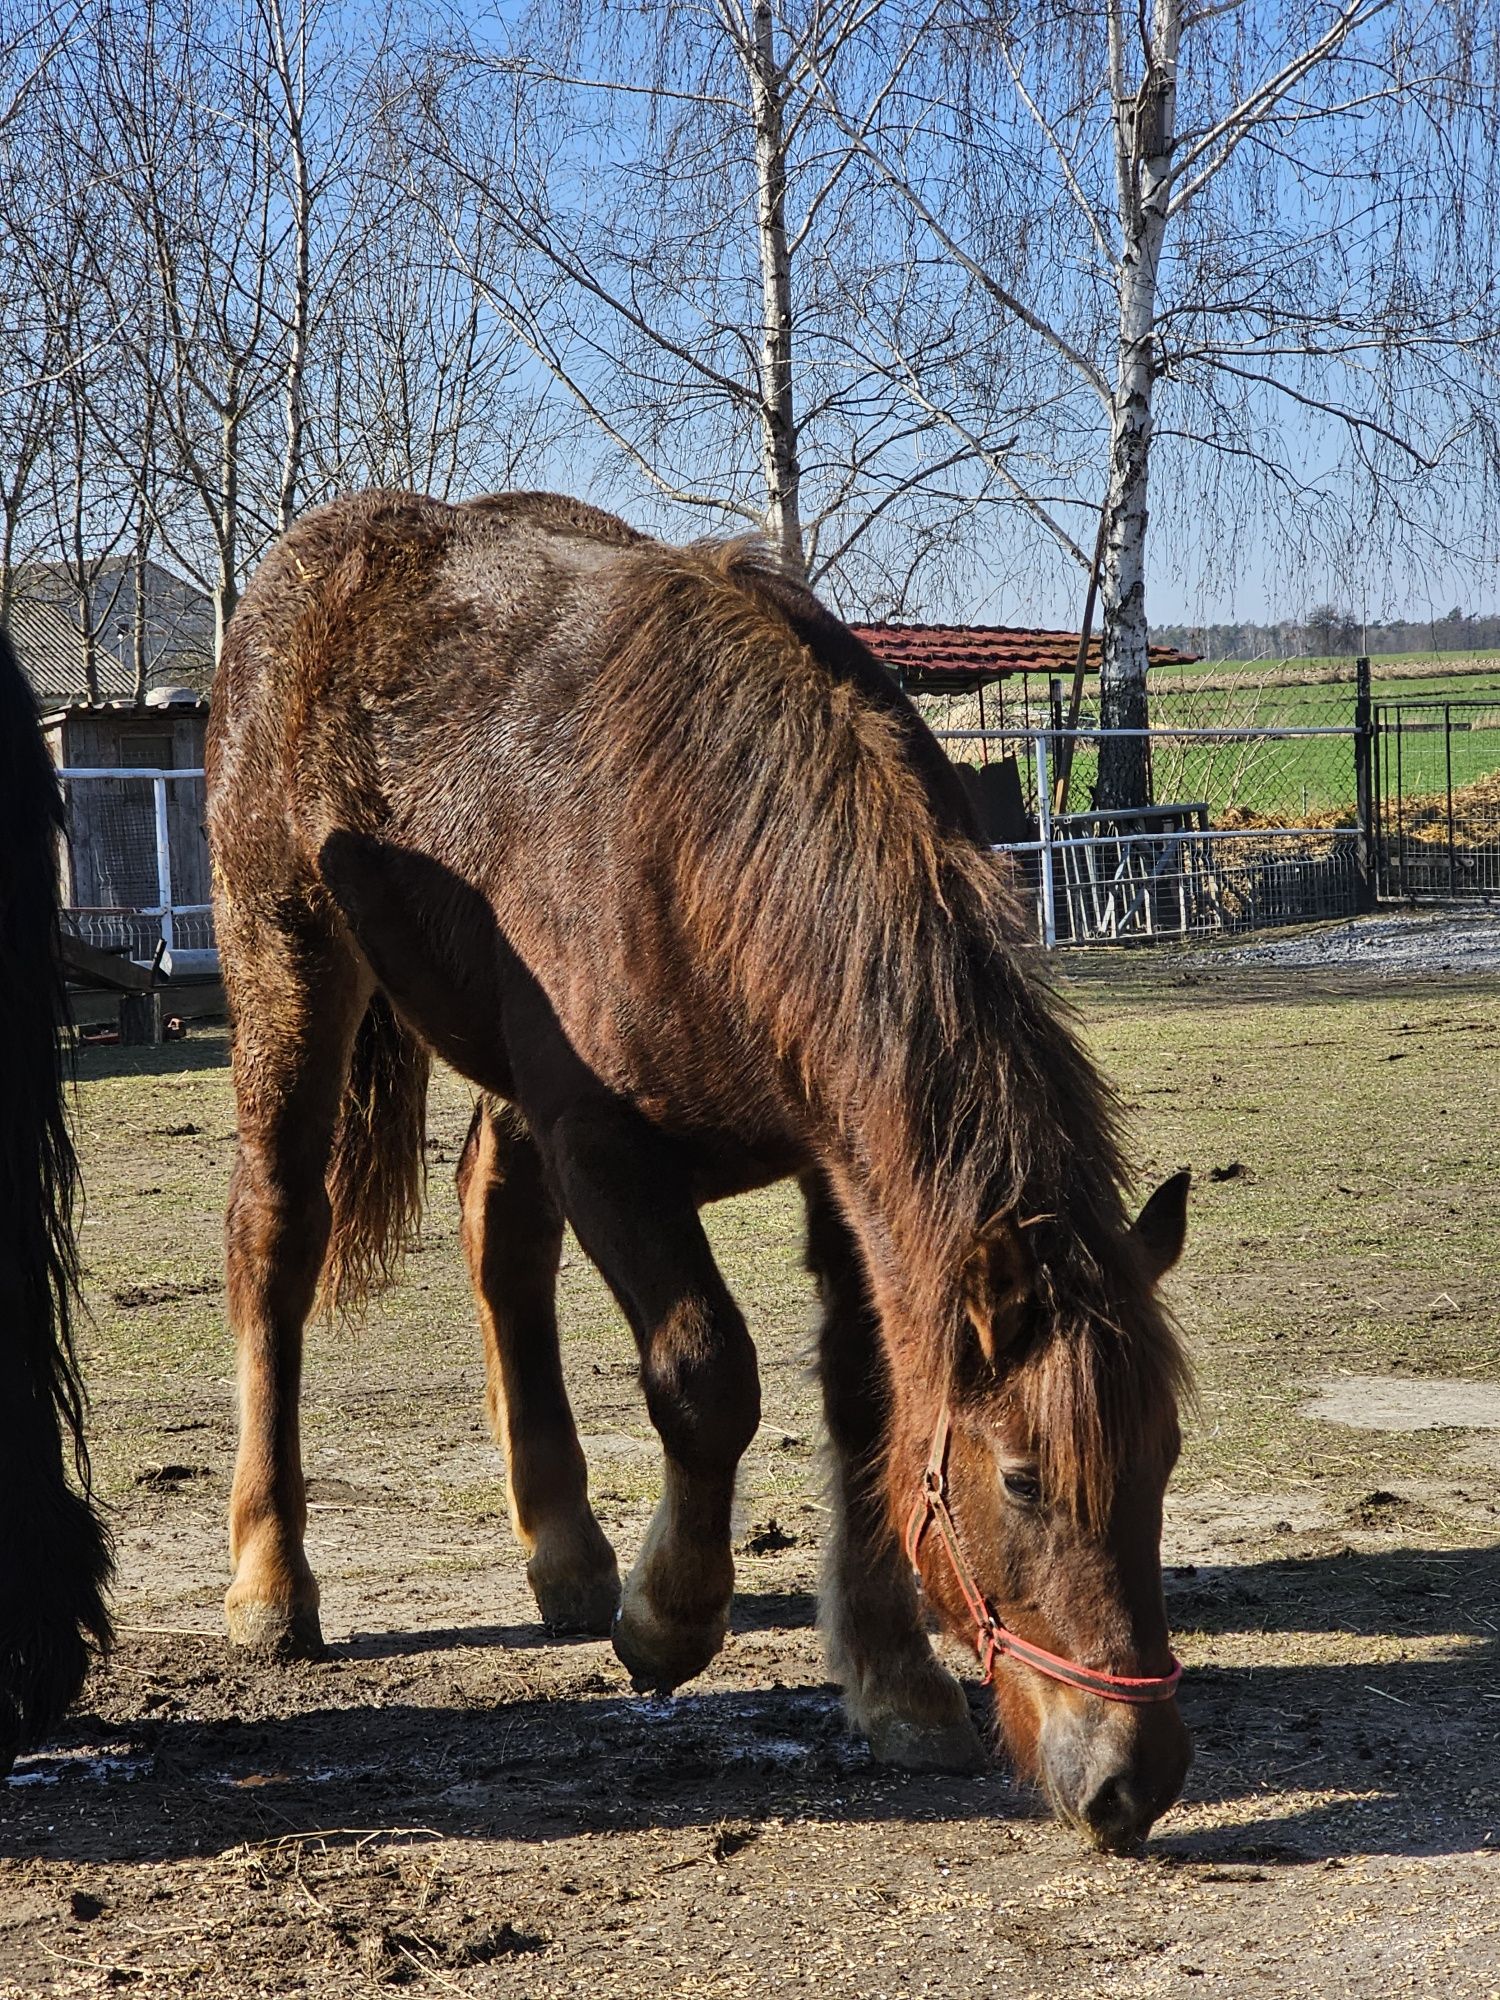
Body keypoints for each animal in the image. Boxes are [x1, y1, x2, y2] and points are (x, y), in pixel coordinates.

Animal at [209, 492, 1200, 1848]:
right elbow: (706, 1373)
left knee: (497, 1228)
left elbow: (868, 1400)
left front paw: (893, 1681)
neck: (708, 850)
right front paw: (669, 1616)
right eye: (1023, 1477)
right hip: (289, 970)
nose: (1132, 1778)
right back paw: (270, 1582)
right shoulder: (603, 1146)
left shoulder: (844, 1177)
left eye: (1163, 1457)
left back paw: (565, 1552)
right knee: (277, 1240)